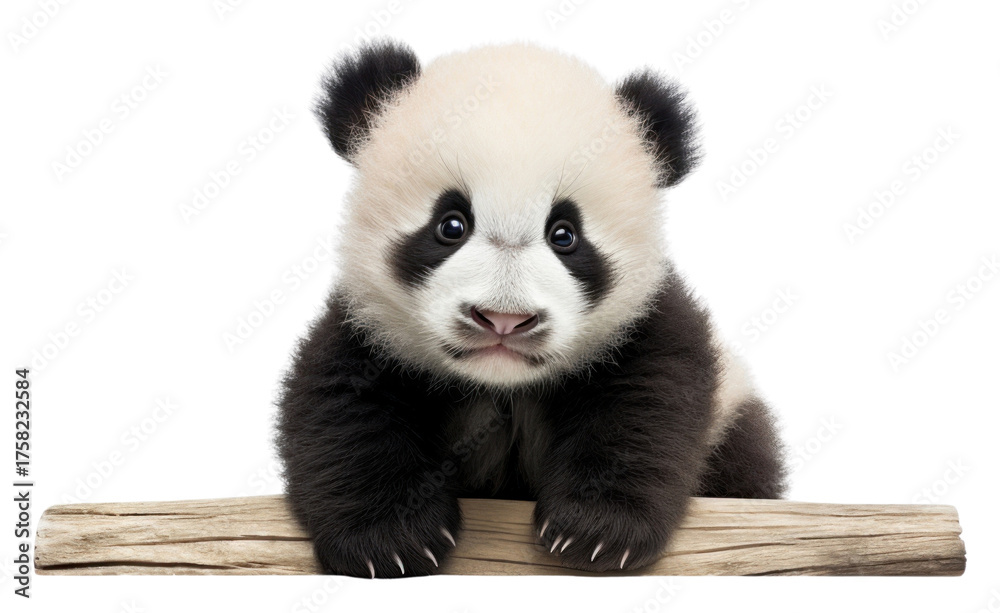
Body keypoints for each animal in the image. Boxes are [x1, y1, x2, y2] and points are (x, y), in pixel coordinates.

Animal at [276, 39, 786, 578]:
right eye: (450, 224)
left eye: (565, 235)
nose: (504, 320)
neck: (503, 384)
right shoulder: (368, 324)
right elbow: (342, 408)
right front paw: (391, 541)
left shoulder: (646, 321)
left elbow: (649, 404)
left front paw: (597, 531)